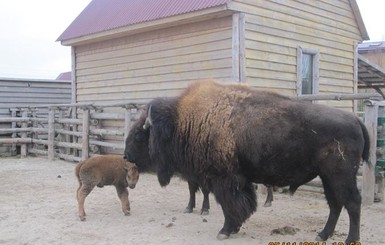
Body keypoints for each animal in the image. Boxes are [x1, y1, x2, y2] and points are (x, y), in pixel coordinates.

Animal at [124, 80, 368, 243]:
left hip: (341, 175)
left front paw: (224, 231)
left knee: (352, 202)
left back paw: (351, 239)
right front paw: (233, 229)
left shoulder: (223, 180)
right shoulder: (235, 180)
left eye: (139, 135)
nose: (126, 156)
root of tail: (355, 119)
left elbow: (231, 206)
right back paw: (322, 235)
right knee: (335, 204)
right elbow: (241, 204)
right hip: (327, 177)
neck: (185, 121)